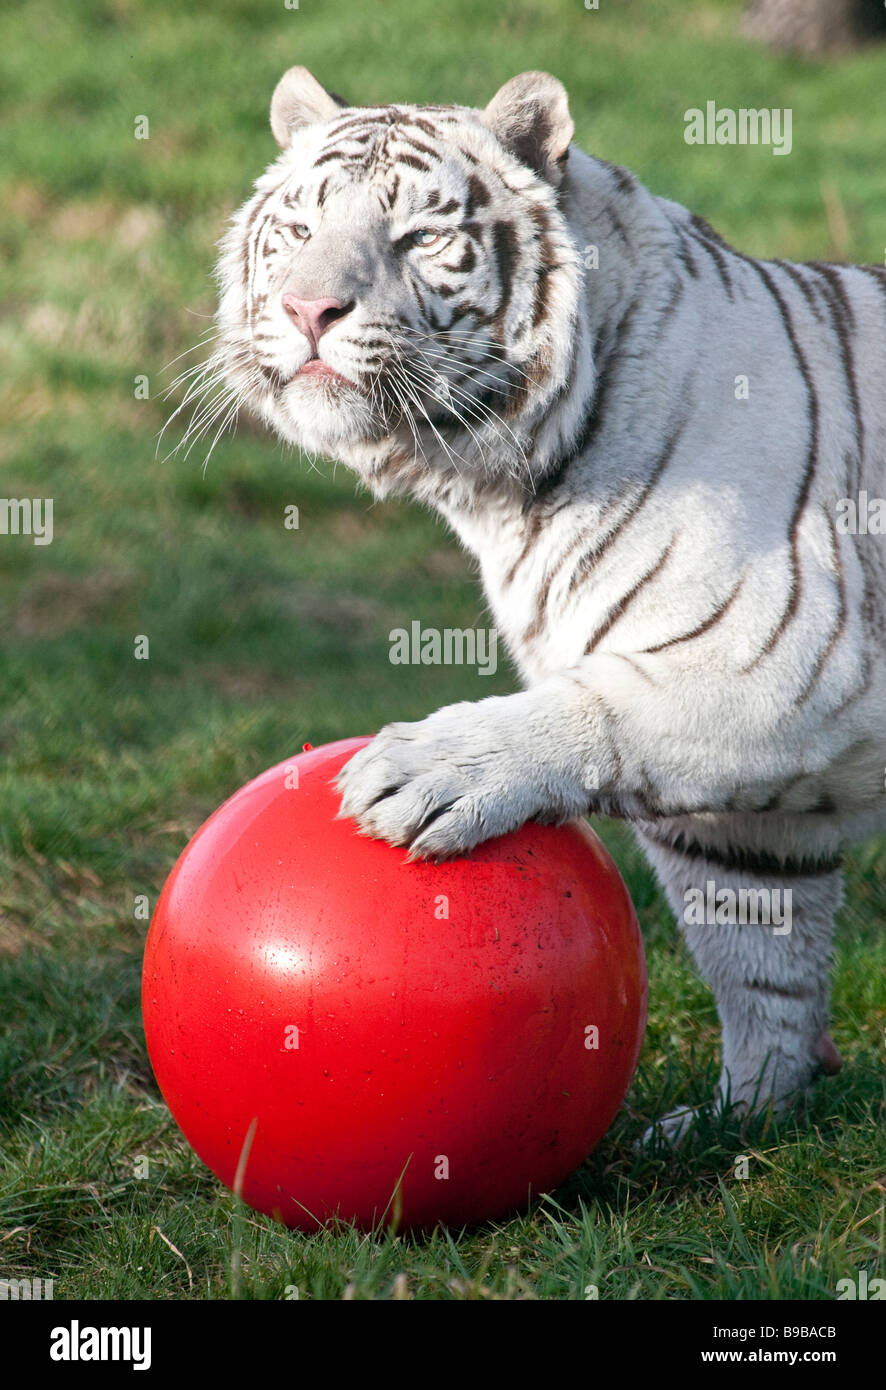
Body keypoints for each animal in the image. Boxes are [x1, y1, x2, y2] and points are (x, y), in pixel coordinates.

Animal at [207, 65, 884, 1139]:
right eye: (300, 228)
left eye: (419, 237)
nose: (310, 308)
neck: (505, 488)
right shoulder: (744, 826)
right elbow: (757, 959)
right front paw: (745, 1119)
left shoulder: (791, 663)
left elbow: (595, 710)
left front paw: (431, 770)